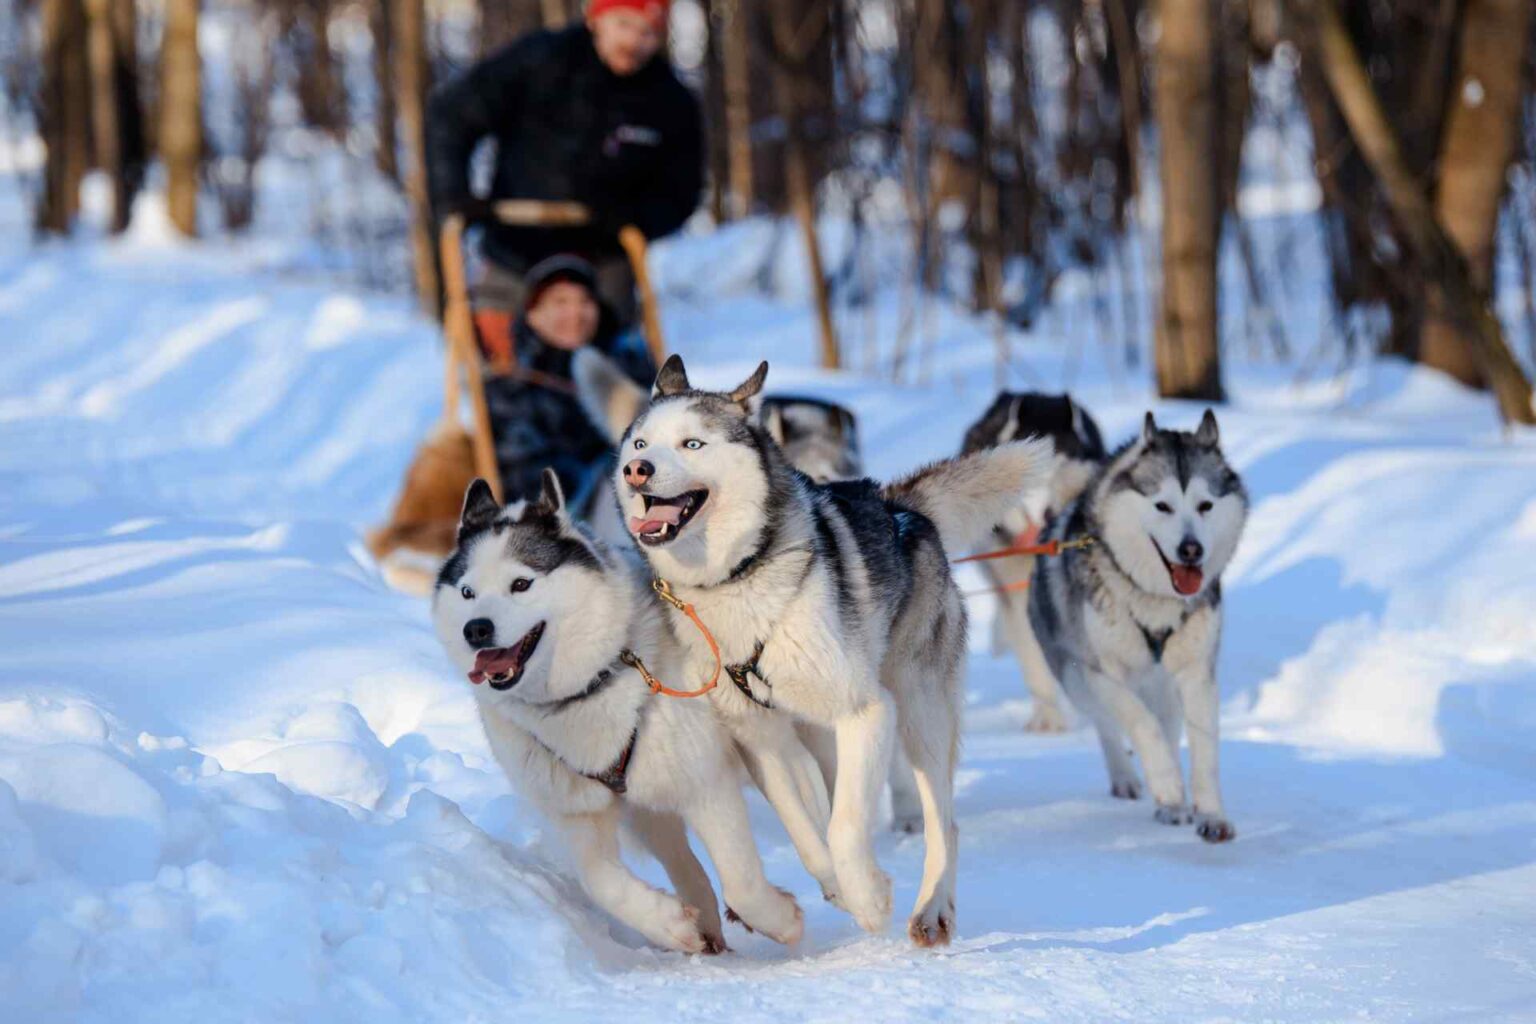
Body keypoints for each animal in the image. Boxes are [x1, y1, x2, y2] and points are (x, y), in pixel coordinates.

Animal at [433, 472, 804, 951]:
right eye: (467, 592)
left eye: (521, 584)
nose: (476, 629)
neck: (591, 685)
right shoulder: (583, 812)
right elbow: (600, 881)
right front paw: (671, 923)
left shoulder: (706, 784)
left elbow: (742, 884)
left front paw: (781, 920)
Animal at [611, 356, 1056, 951]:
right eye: (640, 442)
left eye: (692, 443)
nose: (636, 470)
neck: (738, 579)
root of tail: (898, 507)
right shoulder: (761, 742)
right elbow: (808, 832)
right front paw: (837, 890)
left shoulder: (866, 714)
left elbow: (844, 828)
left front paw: (868, 901)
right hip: (818, 736)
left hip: (918, 715)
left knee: (943, 820)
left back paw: (932, 909)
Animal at [1026, 411, 1241, 847]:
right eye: (1163, 506)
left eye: (1205, 505)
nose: (1191, 550)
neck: (1153, 601)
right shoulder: (1100, 673)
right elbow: (1138, 722)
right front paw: (1169, 784)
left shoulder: (1196, 675)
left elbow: (1203, 752)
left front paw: (1210, 814)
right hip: (1075, 682)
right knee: (1109, 725)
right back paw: (1129, 779)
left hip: (1165, 687)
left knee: (1167, 725)